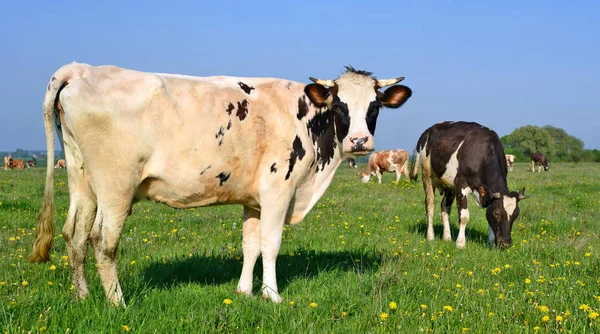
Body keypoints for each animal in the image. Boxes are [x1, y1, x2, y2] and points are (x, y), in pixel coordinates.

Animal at [28, 62, 412, 308]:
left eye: (375, 106)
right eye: (339, 104)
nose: (360, 141)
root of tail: (83, 68)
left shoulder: (253, 199)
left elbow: (250, 245)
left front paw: (244, 291)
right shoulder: (278, 190)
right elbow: (271, 245)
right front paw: (272, 295)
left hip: (82, 180)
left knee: (74, 236)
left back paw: (82, 297)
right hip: (116, 186)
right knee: (103, 241)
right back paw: (117, 303)